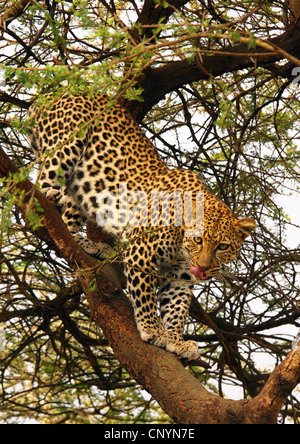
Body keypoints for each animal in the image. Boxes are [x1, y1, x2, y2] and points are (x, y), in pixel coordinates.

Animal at [27, 93, 255, 360]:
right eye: (198, 240)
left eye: (223, 246)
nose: (203, 268)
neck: (181, 246)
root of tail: (53, 93)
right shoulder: (141, 252)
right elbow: (145, 294)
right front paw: (152, 329)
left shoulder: (180, 275)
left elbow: (177, 308)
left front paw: (176, 340)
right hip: (66, 147)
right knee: (39, 187)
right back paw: (48, 198)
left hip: (82, 185)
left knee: (67, 223)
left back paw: (90, 245)